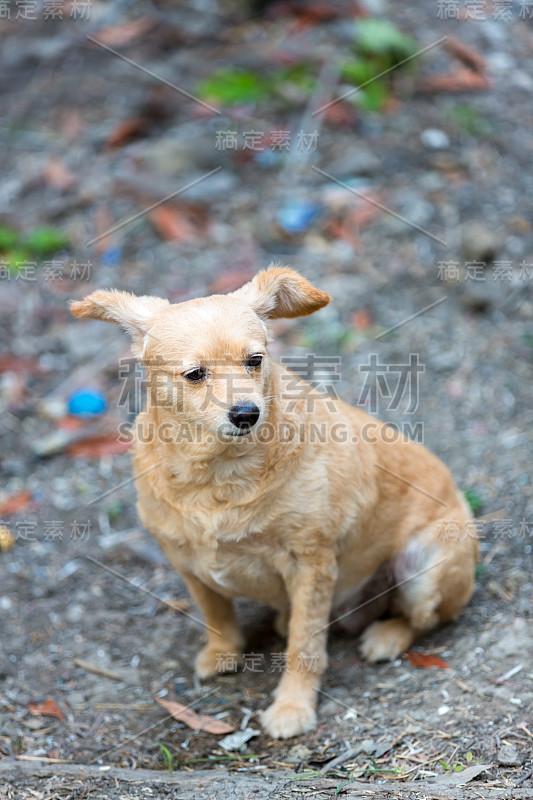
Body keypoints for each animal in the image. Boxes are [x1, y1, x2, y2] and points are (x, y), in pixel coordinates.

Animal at [71, 268, 478, 736]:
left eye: (255, 360)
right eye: (194, 374)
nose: (246, 413)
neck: (220, 474)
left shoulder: (312, 565)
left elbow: (305, 646)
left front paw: (292, 708)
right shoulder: (185, 559)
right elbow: (216, 614)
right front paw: (223, 653)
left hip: (424, 569)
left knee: (426, 619)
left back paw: (386, 636)